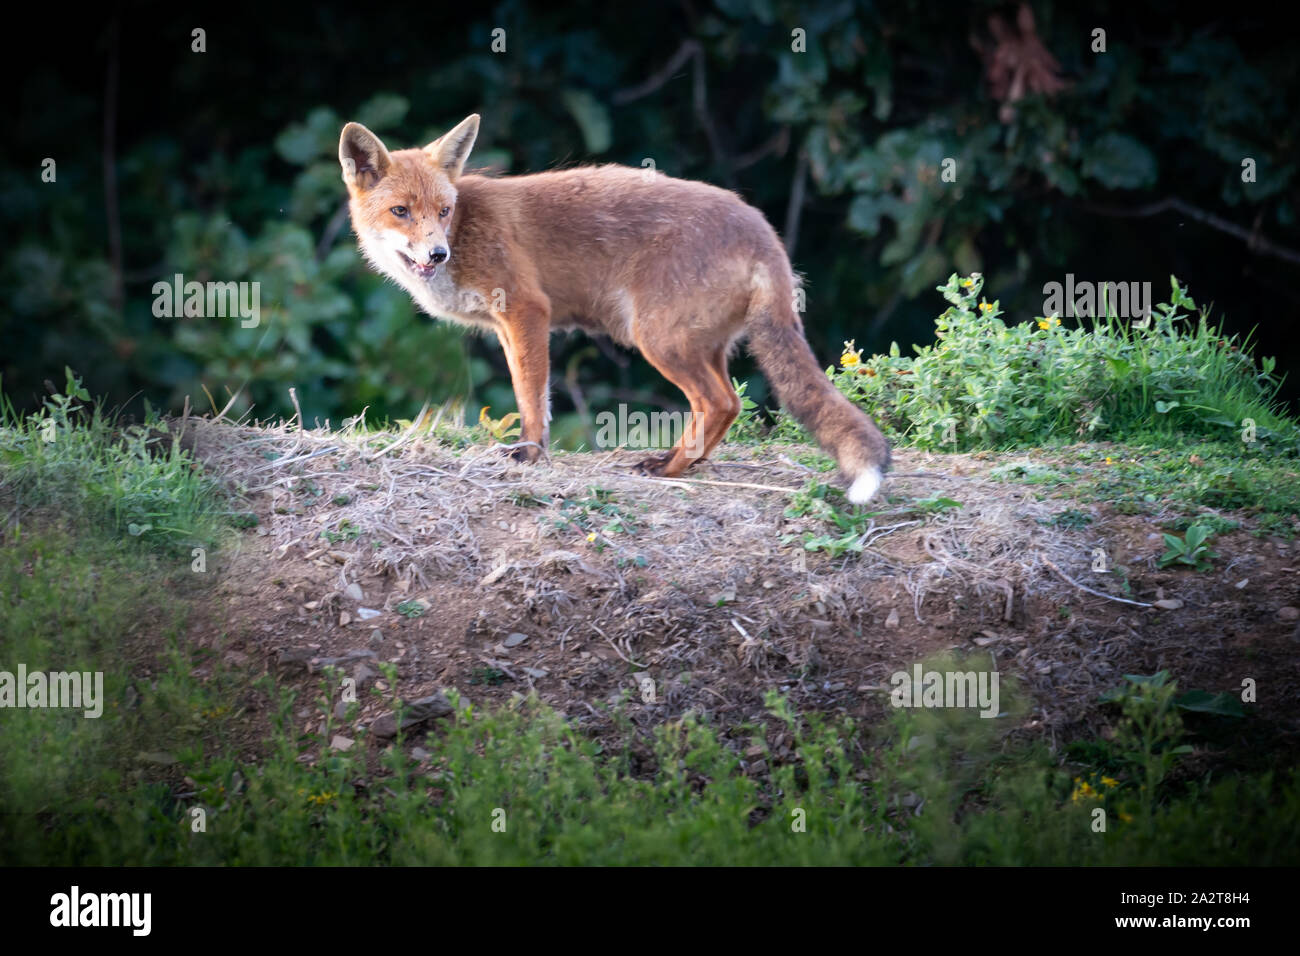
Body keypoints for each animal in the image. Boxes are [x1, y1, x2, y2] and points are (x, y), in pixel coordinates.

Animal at [335, 113, 889, 502]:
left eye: (443, 212)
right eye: (401, 212)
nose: (436, 254)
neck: (467, 230)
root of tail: (764, 231)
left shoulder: (527, 310)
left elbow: (531, 397)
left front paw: (531, 455)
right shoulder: (508, 326)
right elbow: (530, 394)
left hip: (657, 340)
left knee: (719, 402)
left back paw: (669, 468)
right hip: (700, 345)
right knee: (728, 405)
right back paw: (684, 463)